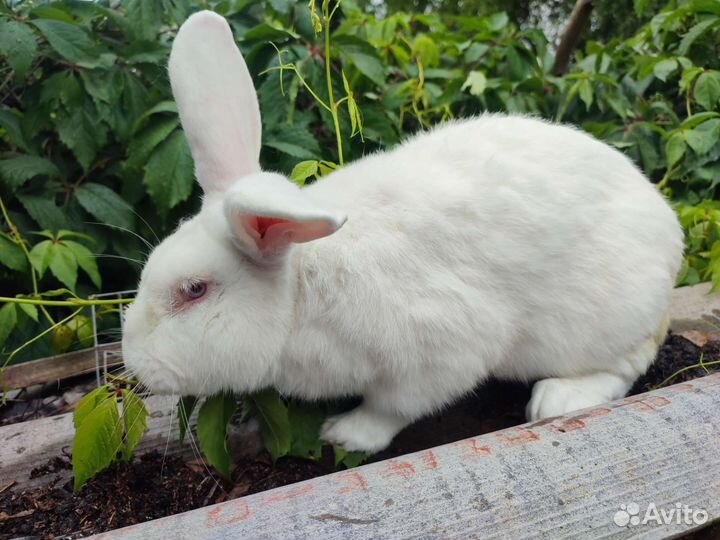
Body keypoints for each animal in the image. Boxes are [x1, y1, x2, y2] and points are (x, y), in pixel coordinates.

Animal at [121, 10, 684, 453]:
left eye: (194, 291)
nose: (134, 362)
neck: (301, 288)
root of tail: (669, 231)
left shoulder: (442, 351)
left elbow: (393, 406)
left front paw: (343, 433)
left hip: (601, 322)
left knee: (627, 363)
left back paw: (556, 400)